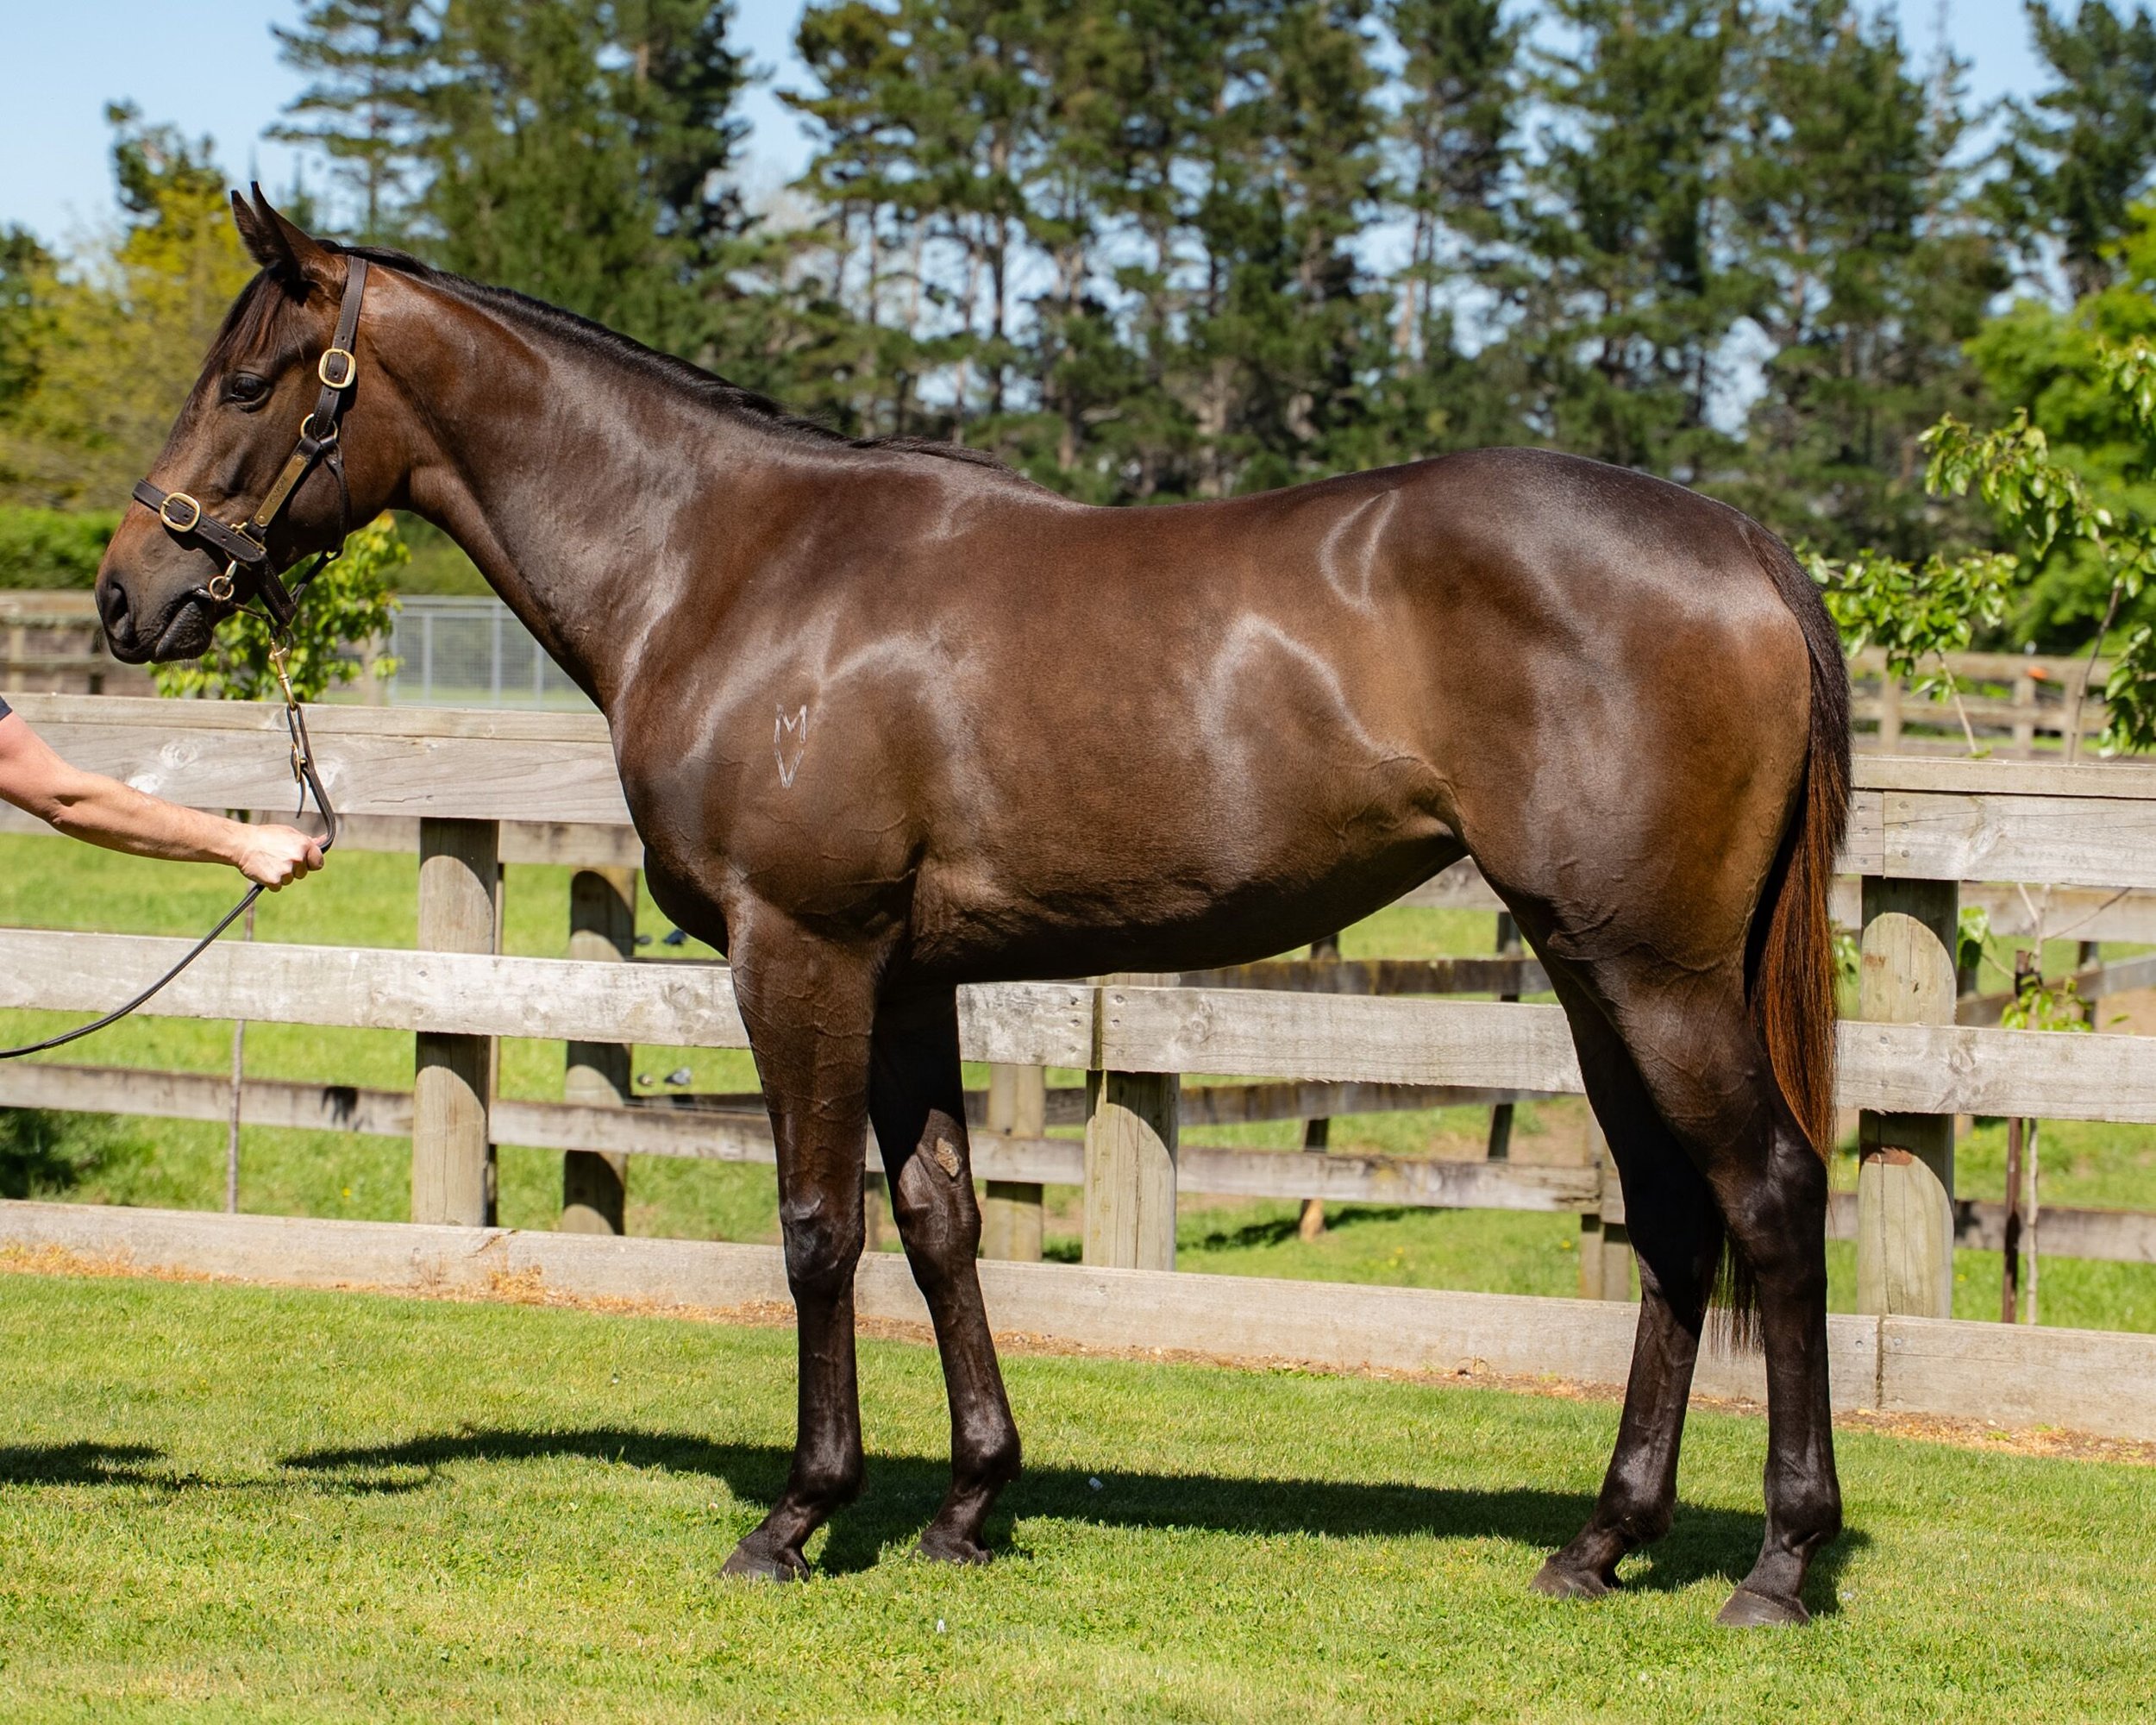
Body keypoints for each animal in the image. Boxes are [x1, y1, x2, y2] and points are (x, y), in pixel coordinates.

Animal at [95, 191, 1850, 1627]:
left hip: (1658, 973)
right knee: (1676, 1220)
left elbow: (819, 1227)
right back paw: (1600, 1545)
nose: (130, 593)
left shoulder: (798, 954)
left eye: (247, 385)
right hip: (1588, 969)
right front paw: (967, 1504)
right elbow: (941, 1218)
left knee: (1769, 1197)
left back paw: (1777, 1564)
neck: (727, 565)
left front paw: (797, 1519)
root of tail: (1740, 545)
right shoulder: (906, 977)